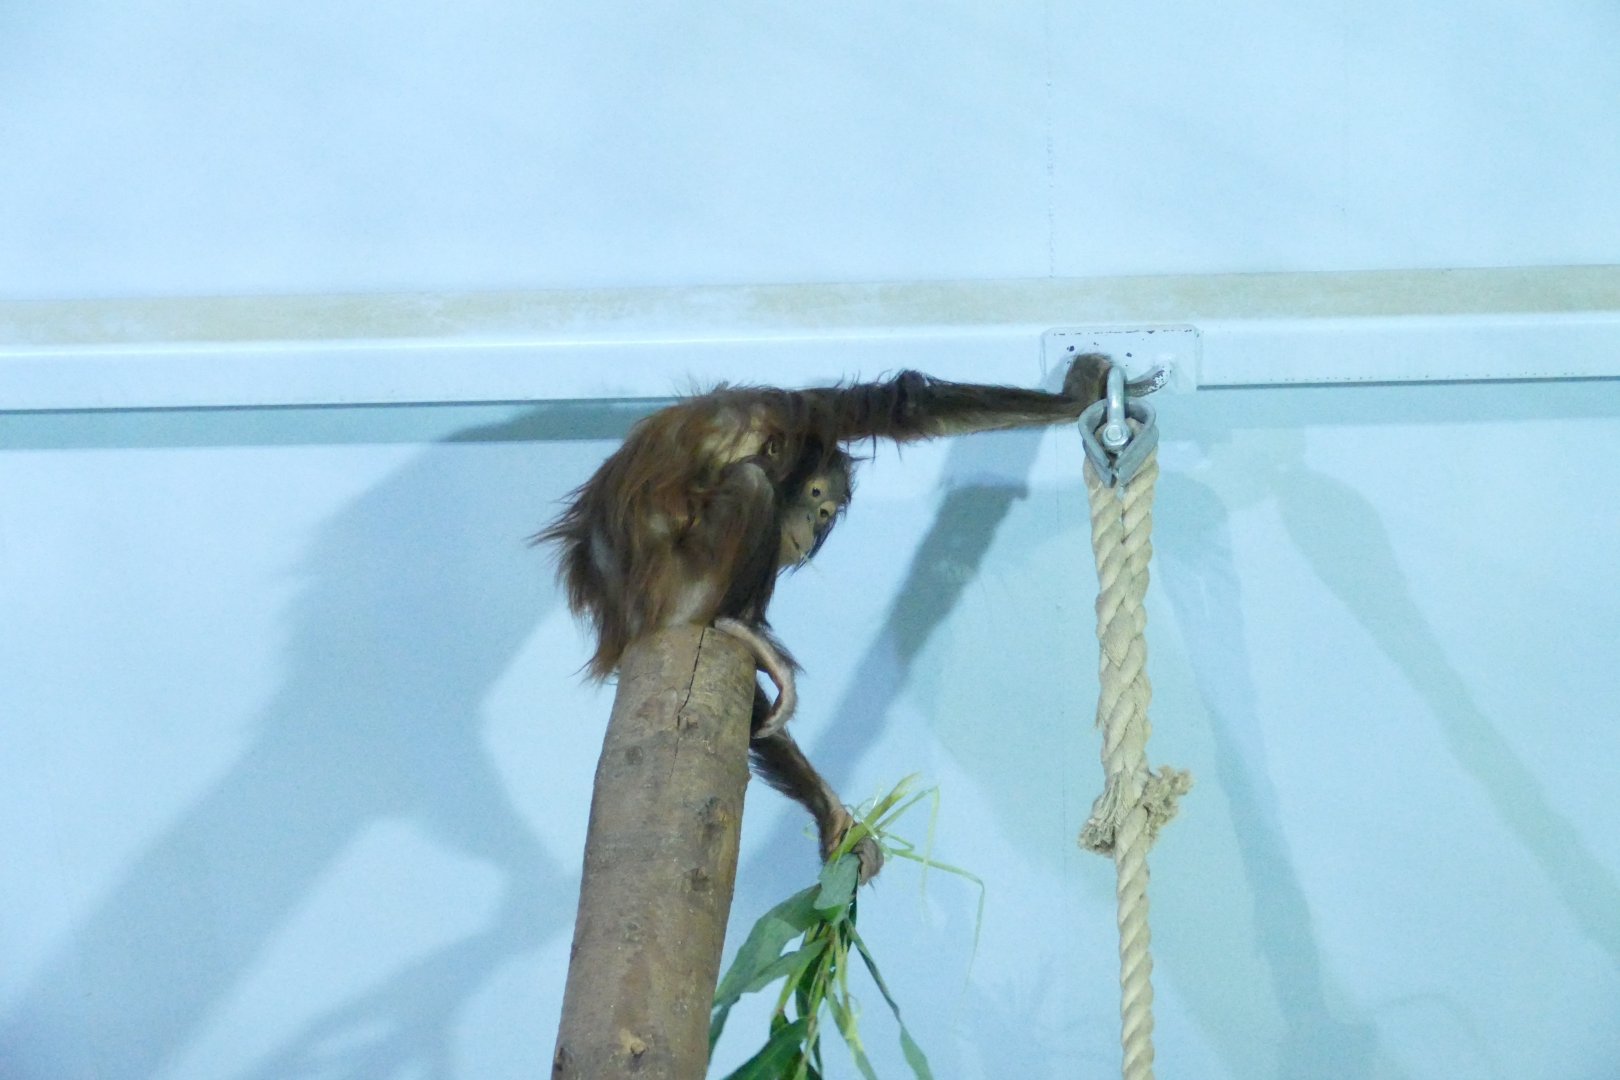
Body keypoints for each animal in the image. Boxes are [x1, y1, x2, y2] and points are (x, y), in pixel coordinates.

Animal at [538, 355, 1112, 885]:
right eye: (816, 496)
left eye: (828, 511)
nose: (816, 525)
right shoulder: (784, 416)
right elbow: (901, 406)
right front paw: (1075, 395)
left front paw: (834, 819)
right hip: (685, 588)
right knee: (752, 486)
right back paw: (740, 628)